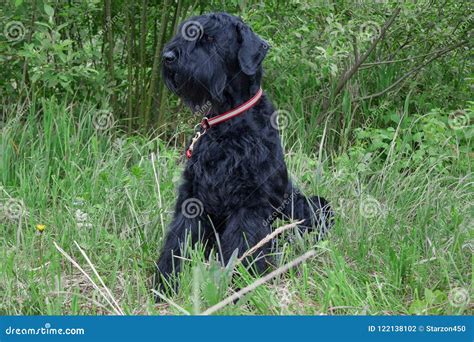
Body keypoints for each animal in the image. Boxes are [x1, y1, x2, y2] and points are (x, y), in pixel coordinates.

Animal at [156, 12, 334, 294]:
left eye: (210, 38)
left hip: (311, 205)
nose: (168, 56)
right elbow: (179, 239)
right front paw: (166, 282)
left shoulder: (249, 202)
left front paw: (239, 285)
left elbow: (242, 245)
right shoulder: (193, 196)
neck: (228, 121)